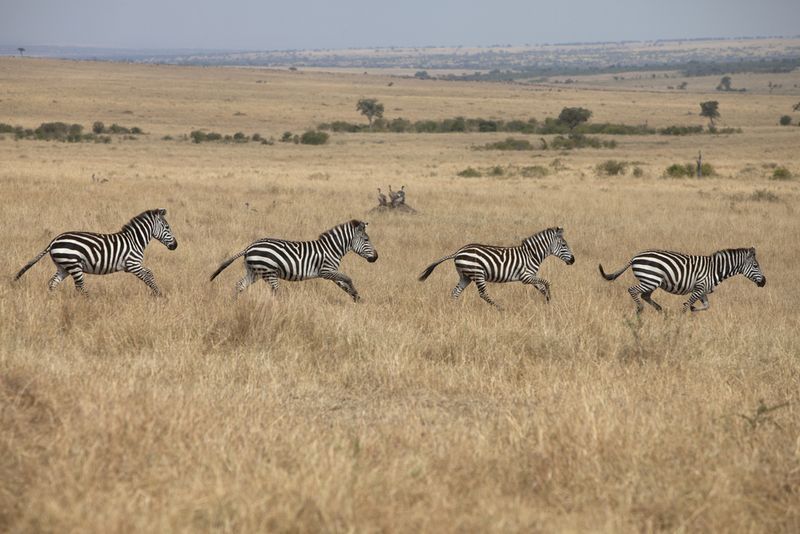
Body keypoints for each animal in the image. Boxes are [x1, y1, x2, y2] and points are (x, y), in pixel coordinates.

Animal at [14, 208, 178, 298]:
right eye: (167, 227)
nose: (175, 245)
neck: (135, 240)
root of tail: (54, 240)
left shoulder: (132, 266)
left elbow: (149, 274)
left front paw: (157, 293)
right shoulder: (132, 264)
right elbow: (148, 275)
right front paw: (159, 294)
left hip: (63, 267)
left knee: (52, 283)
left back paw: (52, 300)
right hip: (74, 265)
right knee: (80, 287)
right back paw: (90, 302)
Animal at [209, 218, 378, 302]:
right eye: (366, 239)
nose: (376, 257)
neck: (332, 248)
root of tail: (249, 246)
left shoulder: (332, 272)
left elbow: (343, 284)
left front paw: (357, 298)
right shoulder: (326, 271)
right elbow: (348, 279)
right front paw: (356, 294)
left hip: (254, 272)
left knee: (239, 285)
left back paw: (234, 304)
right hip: (268, 272)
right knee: (275, 293)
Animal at [418, 227, 576, 310]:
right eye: (564, 245)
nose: (573, 260)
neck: (531, 254)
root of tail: (458, 251)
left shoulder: (531, 276)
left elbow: (542, 287)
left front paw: (549, 302)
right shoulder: (525, 277)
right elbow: (547, 282)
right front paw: (550, 299)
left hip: (465, 276)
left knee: (455, 292)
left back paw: (453, 308)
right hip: (477, 273)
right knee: (483, 294)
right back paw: (500, 308)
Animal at [600, 248, 764, 314]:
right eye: (756, 266)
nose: (764, 282)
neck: (715, 269)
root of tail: (634, 257)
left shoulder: (703, 290)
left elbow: (707, 306)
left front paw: (693, 309)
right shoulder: (699, 288)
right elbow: (687, 306)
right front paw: (682, 320)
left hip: (651, 281)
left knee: (645, 296)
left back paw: (660, 310)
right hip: (651, 279)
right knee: (633, 290)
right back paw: (640, 310)